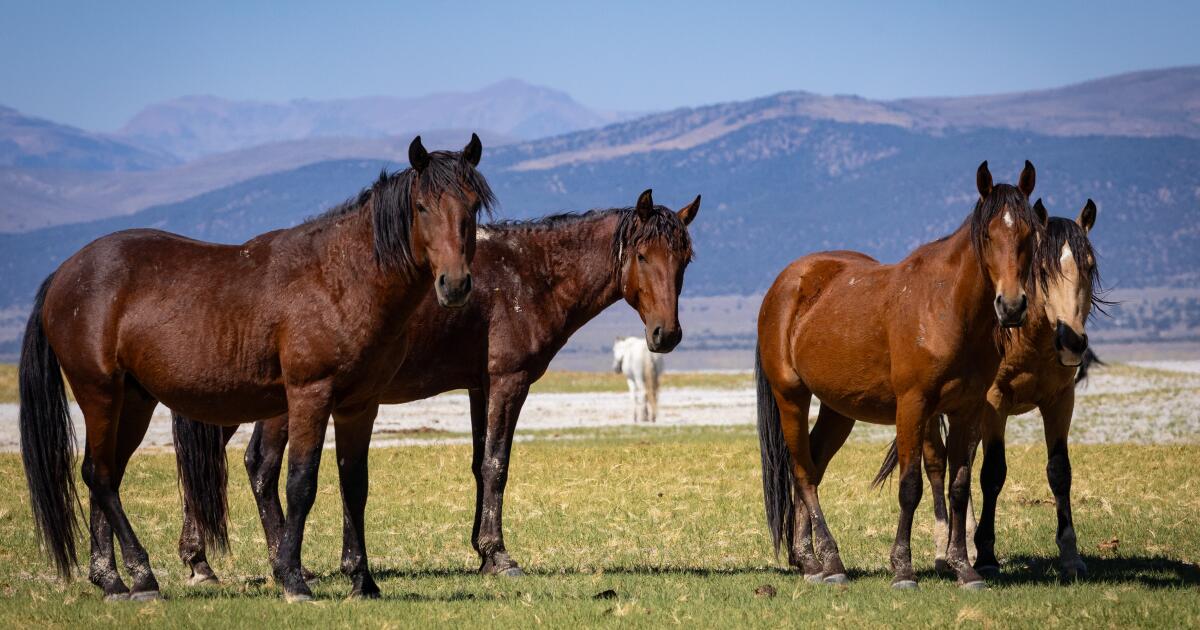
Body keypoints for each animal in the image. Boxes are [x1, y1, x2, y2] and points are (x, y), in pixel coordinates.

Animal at [18, 135, 494, 602]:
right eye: (422, 207)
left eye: (472, 206)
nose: (455, 285)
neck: (338, 279)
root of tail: (65, 273)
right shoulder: (309, 396)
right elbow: (301, 484)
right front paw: (293, 579)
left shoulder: (360, 405)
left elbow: (354, 486)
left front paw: (363, 582)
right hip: (98, 393)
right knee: (98, 475)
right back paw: (141, 577)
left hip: (133, 401)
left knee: (106, 475)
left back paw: (113, 580)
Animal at [172, 189, 700, 581]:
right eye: (642, 255)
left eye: (685, 259)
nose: (667, 334)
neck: (528, 275)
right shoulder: (508, 382)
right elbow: (497, 465)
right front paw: (499, 556)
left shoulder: (479, 387)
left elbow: (479, 464)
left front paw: (482, 553)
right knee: (259, 467)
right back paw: (276, 563)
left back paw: (201, 562)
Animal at [756, 161, 1046, 590]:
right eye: (988, 235)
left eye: (1029, 234)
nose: (1011, 306)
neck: (945, 306)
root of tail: (786, 283)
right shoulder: (913, 404)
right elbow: (910, 486)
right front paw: (903, 569)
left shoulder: (967, 408)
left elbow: (959, 486)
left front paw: (964, 568)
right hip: (791, 396)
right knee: (804, 472)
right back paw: (827, 562)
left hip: (838, 410)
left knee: (813, 467)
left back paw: (809, 559)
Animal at [871, 199, 1103, 578]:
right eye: (1042, 269)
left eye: (1089, 265)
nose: (1072, 341)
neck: (1028, 338)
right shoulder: (995, 403)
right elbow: (993, 472)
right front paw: (987, 554)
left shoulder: (1060, 401)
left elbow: (1059, 471)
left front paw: (1071, 555)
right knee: (937, 465)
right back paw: (944, 550)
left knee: (960, 462)